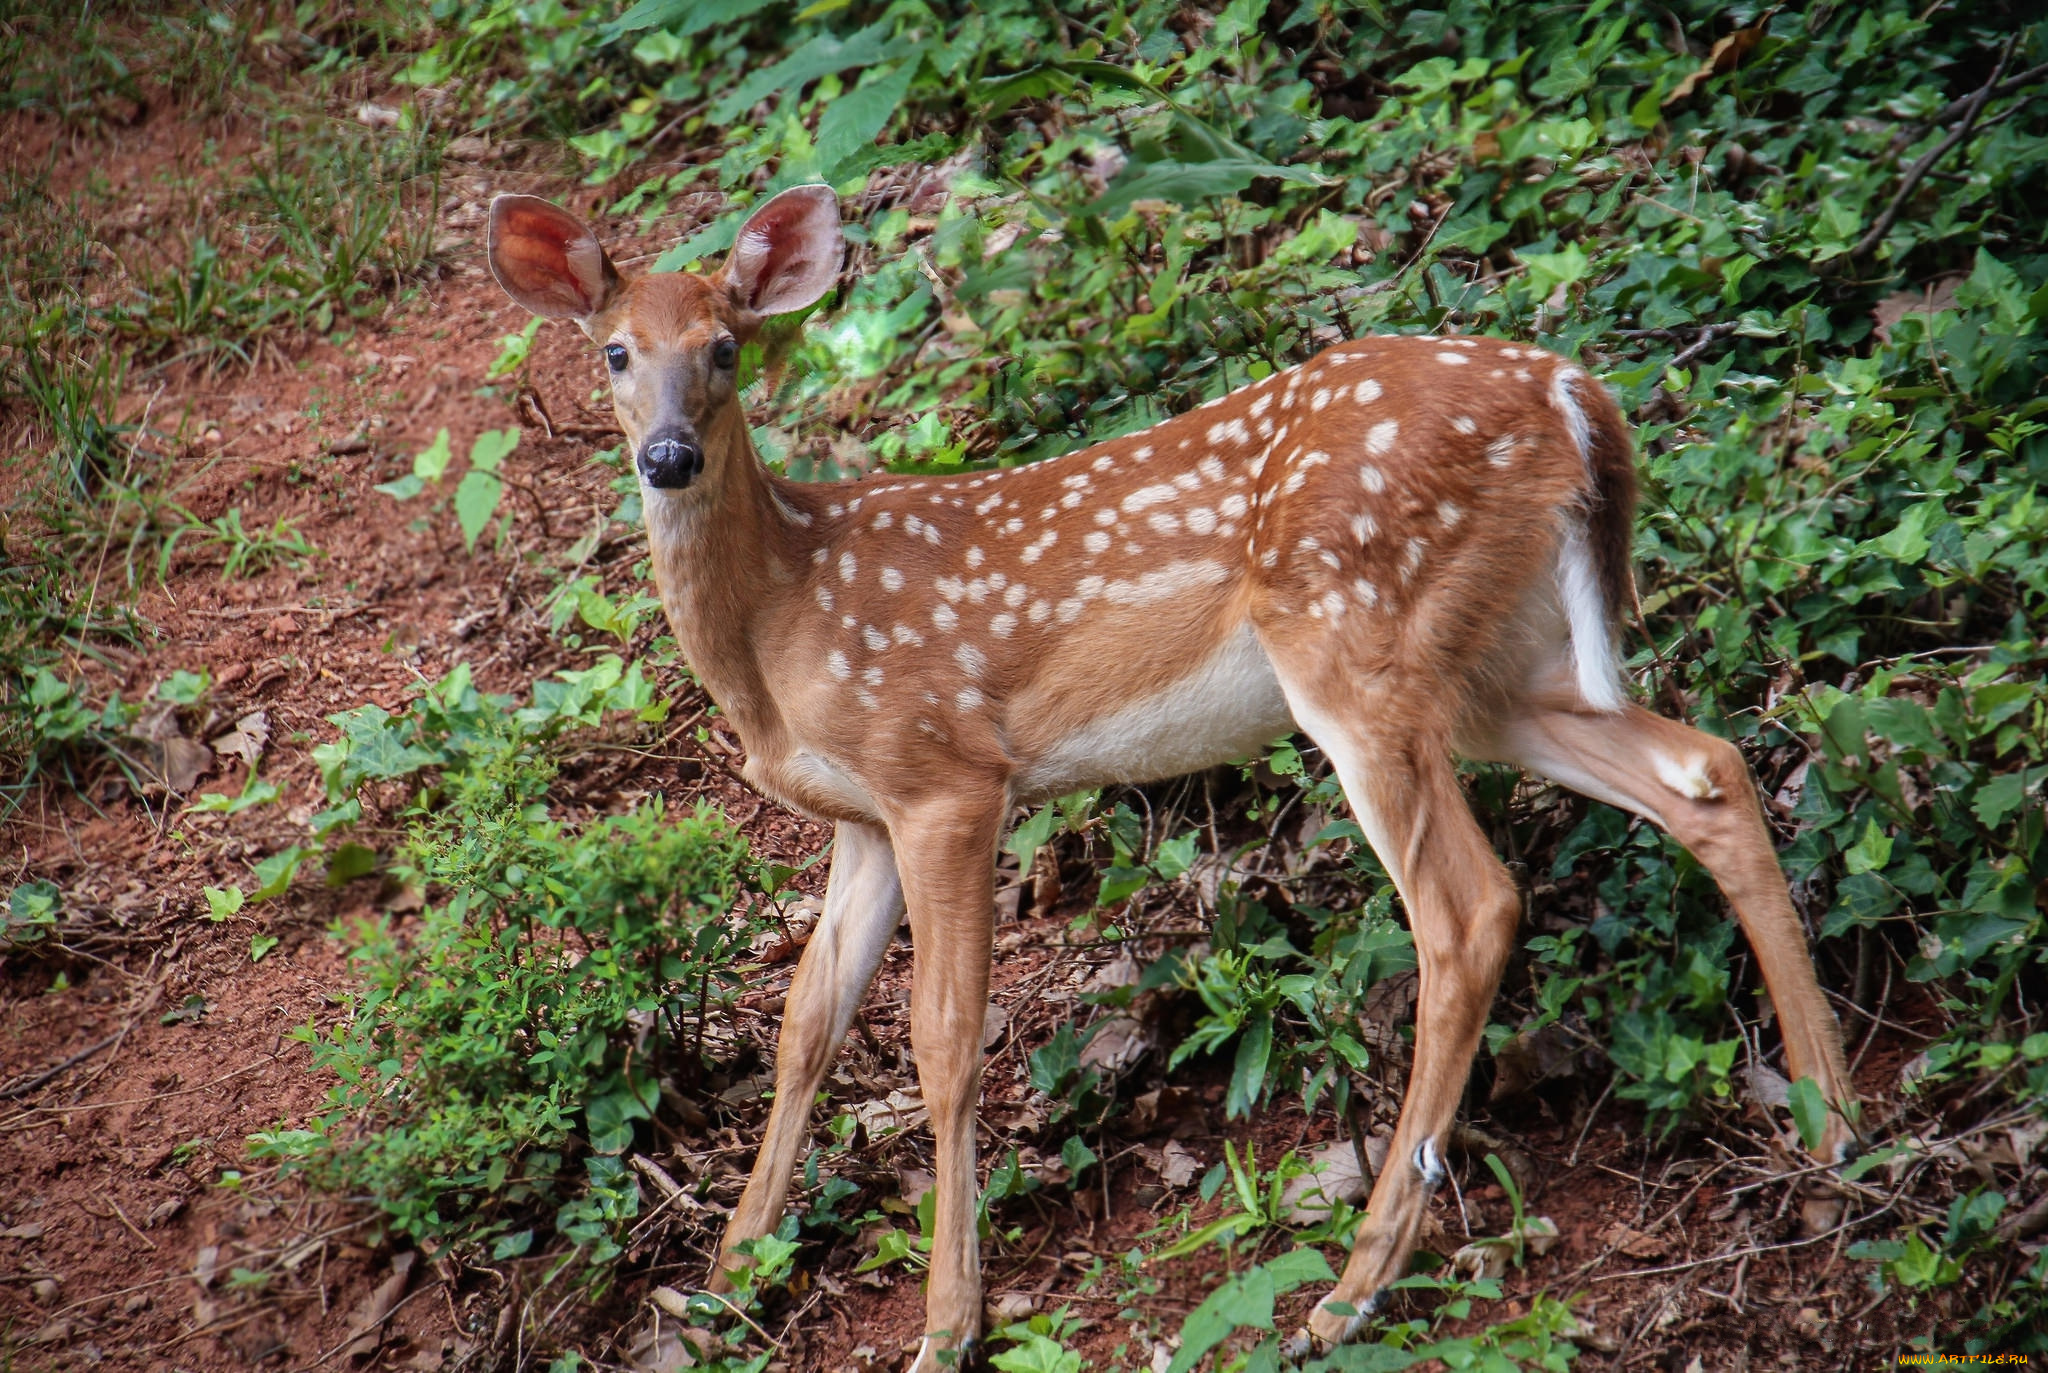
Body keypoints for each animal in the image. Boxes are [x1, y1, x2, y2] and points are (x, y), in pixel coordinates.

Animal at [487, 188, 1867, 1368]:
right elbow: (803, 1027)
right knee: (1705, 769)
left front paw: (946, 1321)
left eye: (725, 348)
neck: (781, 622)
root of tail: (1572, 389)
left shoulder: (945, 774)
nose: (668, 454)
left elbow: (942, 1040)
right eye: (613, 352)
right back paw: (1834, 1122)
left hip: (1355, 635)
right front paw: (724, 1281)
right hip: (1496, 667)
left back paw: (1351, 1287)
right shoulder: (860, 820)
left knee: (1469, 908)